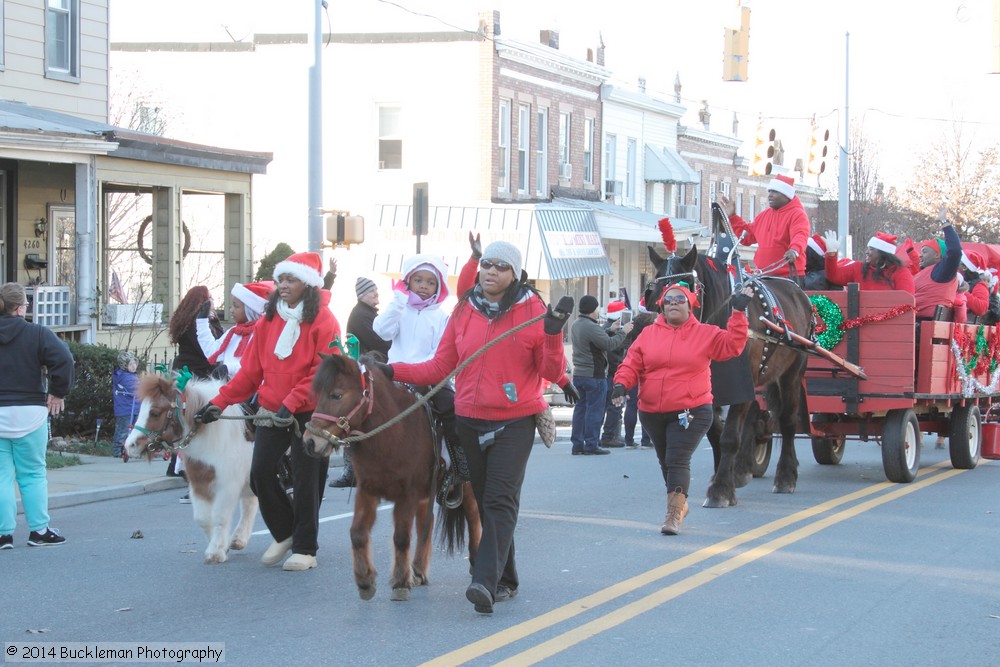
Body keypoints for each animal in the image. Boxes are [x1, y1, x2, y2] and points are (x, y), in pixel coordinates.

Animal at [123, 376, 258, 564]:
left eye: (155, 413)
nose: (130, 446)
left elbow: (220, 517)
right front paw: (220, 547)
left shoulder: (227, 487)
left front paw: (215, 552)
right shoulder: (198, 485)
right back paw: (239, 540)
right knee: (250, 504)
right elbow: (203, 518)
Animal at [300, 354, 480, 604]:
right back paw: (418, 570)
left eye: (336, 395)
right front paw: (365, 580)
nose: (309, 442)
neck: (392, 436)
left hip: (468, 487)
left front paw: (400, 583)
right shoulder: (367, 491)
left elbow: (401, 537)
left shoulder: (407, 495)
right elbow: (357, 533)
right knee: (426, 524)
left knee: (474, 519)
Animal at [644, 204, 816, 506]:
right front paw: (724, 477)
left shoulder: (738, 384)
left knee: (787, 420)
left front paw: (721, 489)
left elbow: (730, 436)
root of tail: (798, 290)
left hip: (793, 372)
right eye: (654, 293)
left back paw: (786, 476)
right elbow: (716, 431)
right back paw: (744, 469)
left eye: (684, 289)